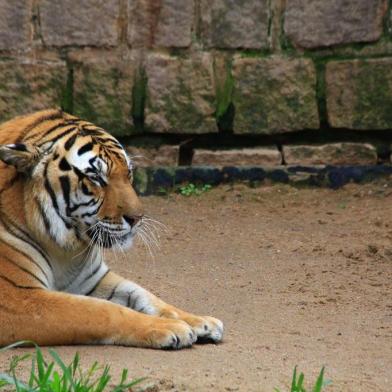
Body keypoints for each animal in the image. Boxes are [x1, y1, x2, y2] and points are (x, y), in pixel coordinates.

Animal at [0, 108, 224, 350]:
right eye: (96, 178)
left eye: (129, 173)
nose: (137, 218)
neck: (63, 248)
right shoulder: (15, 298)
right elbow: (102, 310)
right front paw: (172, 328)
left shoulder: (92, 278)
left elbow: (145, 295)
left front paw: (200, 321)